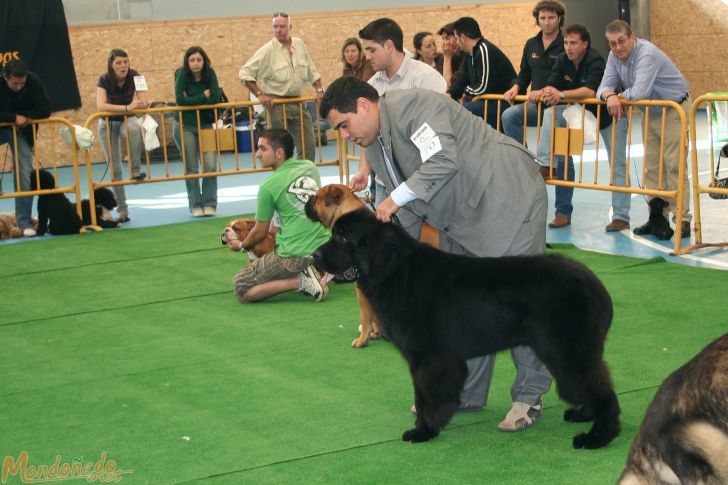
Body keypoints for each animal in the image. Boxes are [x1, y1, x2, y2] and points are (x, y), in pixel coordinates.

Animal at [312, 210, 620, 448]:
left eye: (342, 237)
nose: (313, 255)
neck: (393, 269)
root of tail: (595, 284)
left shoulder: (428, 357)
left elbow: (424, 395)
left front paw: (423, 431)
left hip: (566, 349)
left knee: (600, 388)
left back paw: (597, 437)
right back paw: (584, 415)